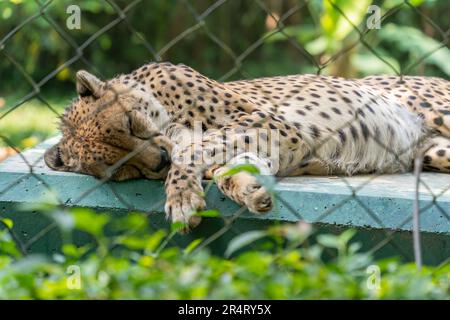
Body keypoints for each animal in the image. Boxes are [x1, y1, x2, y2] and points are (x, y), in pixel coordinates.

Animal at [43, 62, 450, 230]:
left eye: (130, 124)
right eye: (122, 169)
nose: (158, 162)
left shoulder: (273, 124)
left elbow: (193, 151)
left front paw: (180, 198)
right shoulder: (275, 142)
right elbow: (226, 167)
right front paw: (250, 189)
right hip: (433, 152)